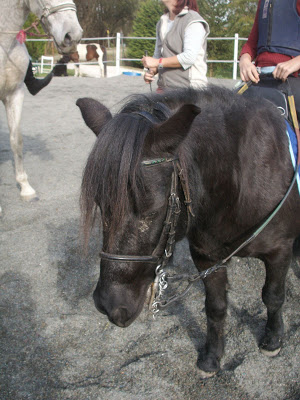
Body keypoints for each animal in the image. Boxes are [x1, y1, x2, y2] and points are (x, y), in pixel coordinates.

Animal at [77, 86, 300, 378]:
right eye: (102, 205)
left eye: (152, 209)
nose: (108, 304)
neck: (241, 178)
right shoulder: (208, 258)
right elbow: (215, 308)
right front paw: (211, 357)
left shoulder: (280, 250)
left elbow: (273, 296)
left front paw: (272, 339)